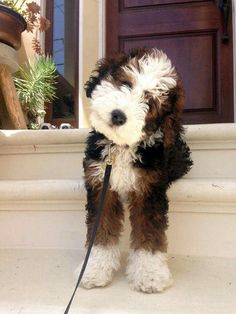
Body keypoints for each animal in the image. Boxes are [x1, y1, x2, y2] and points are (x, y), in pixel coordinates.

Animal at [78, 47, 193, 294]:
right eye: (125, 83)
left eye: (149, 103)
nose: (118, 115)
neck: (121, 148)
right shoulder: (101, 185)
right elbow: (100, 230)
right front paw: (94, 269)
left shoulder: (149, 190)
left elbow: (149, 233)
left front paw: (150, 275)